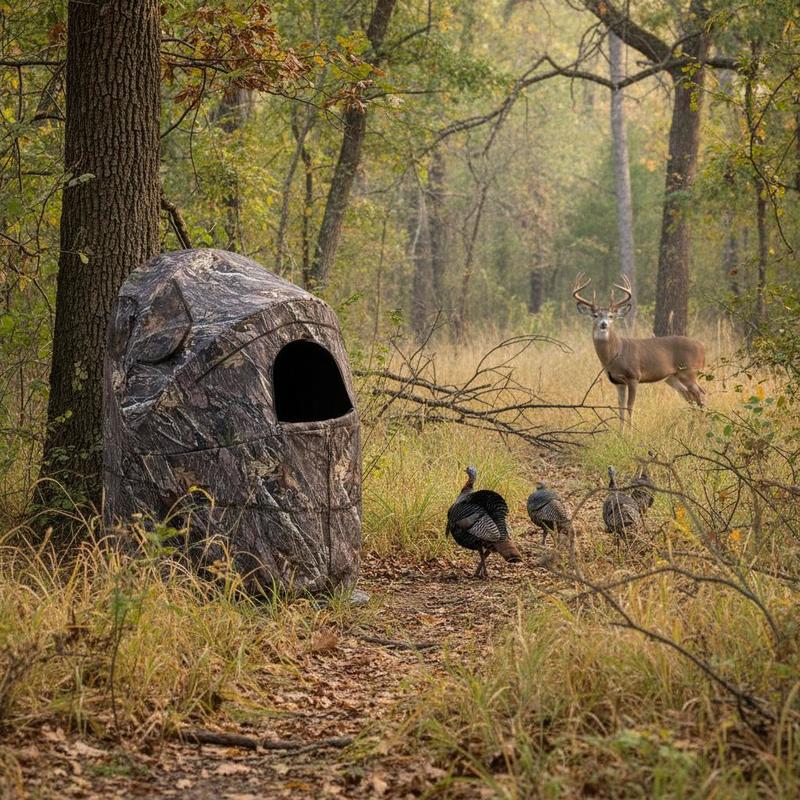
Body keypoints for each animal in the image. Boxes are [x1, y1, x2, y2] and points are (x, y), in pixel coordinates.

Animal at [572, 274, 706, 426]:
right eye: (595, 315)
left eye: (611, 316)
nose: (603, 324)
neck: (616, 353)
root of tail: (703, 347)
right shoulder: (617, 381)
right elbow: (621, 409)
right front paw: (620, 431)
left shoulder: (634, 376)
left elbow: (630, 407)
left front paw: (631, 430)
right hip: (673, 377)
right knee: (692, 398)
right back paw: (693, 426)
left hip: (690, 372)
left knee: (701, 394)